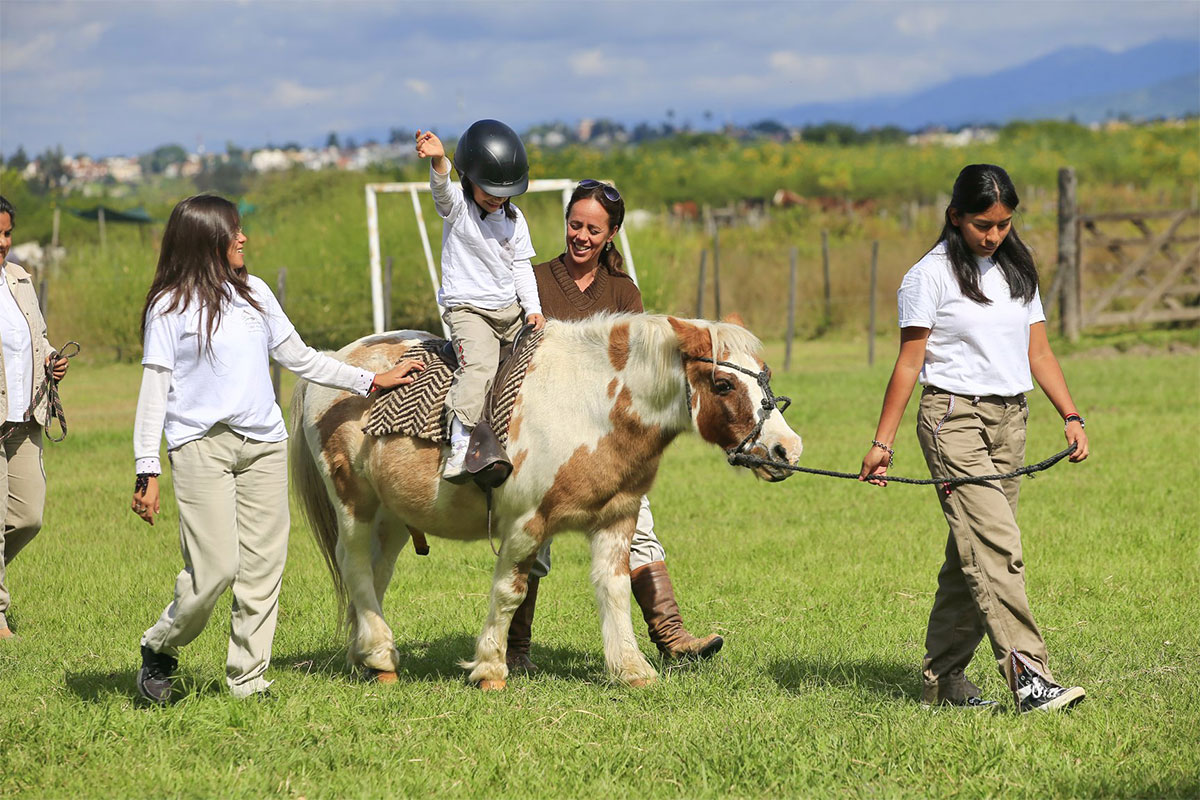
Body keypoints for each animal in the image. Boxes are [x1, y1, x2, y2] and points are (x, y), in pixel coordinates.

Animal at [288, 311, 806, 690]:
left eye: (765, 376)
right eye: (723, 385)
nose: (787, 450)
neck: (589, 404)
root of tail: (338, 359)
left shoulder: (617, 519)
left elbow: (616, 589)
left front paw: (632, 670)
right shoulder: (525, 524)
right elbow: (510, 591)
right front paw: (491, 669)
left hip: (392, 518)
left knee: (374, 576)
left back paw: (368, 656)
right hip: (354, 505)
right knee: (354, 564)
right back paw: (380, 654)